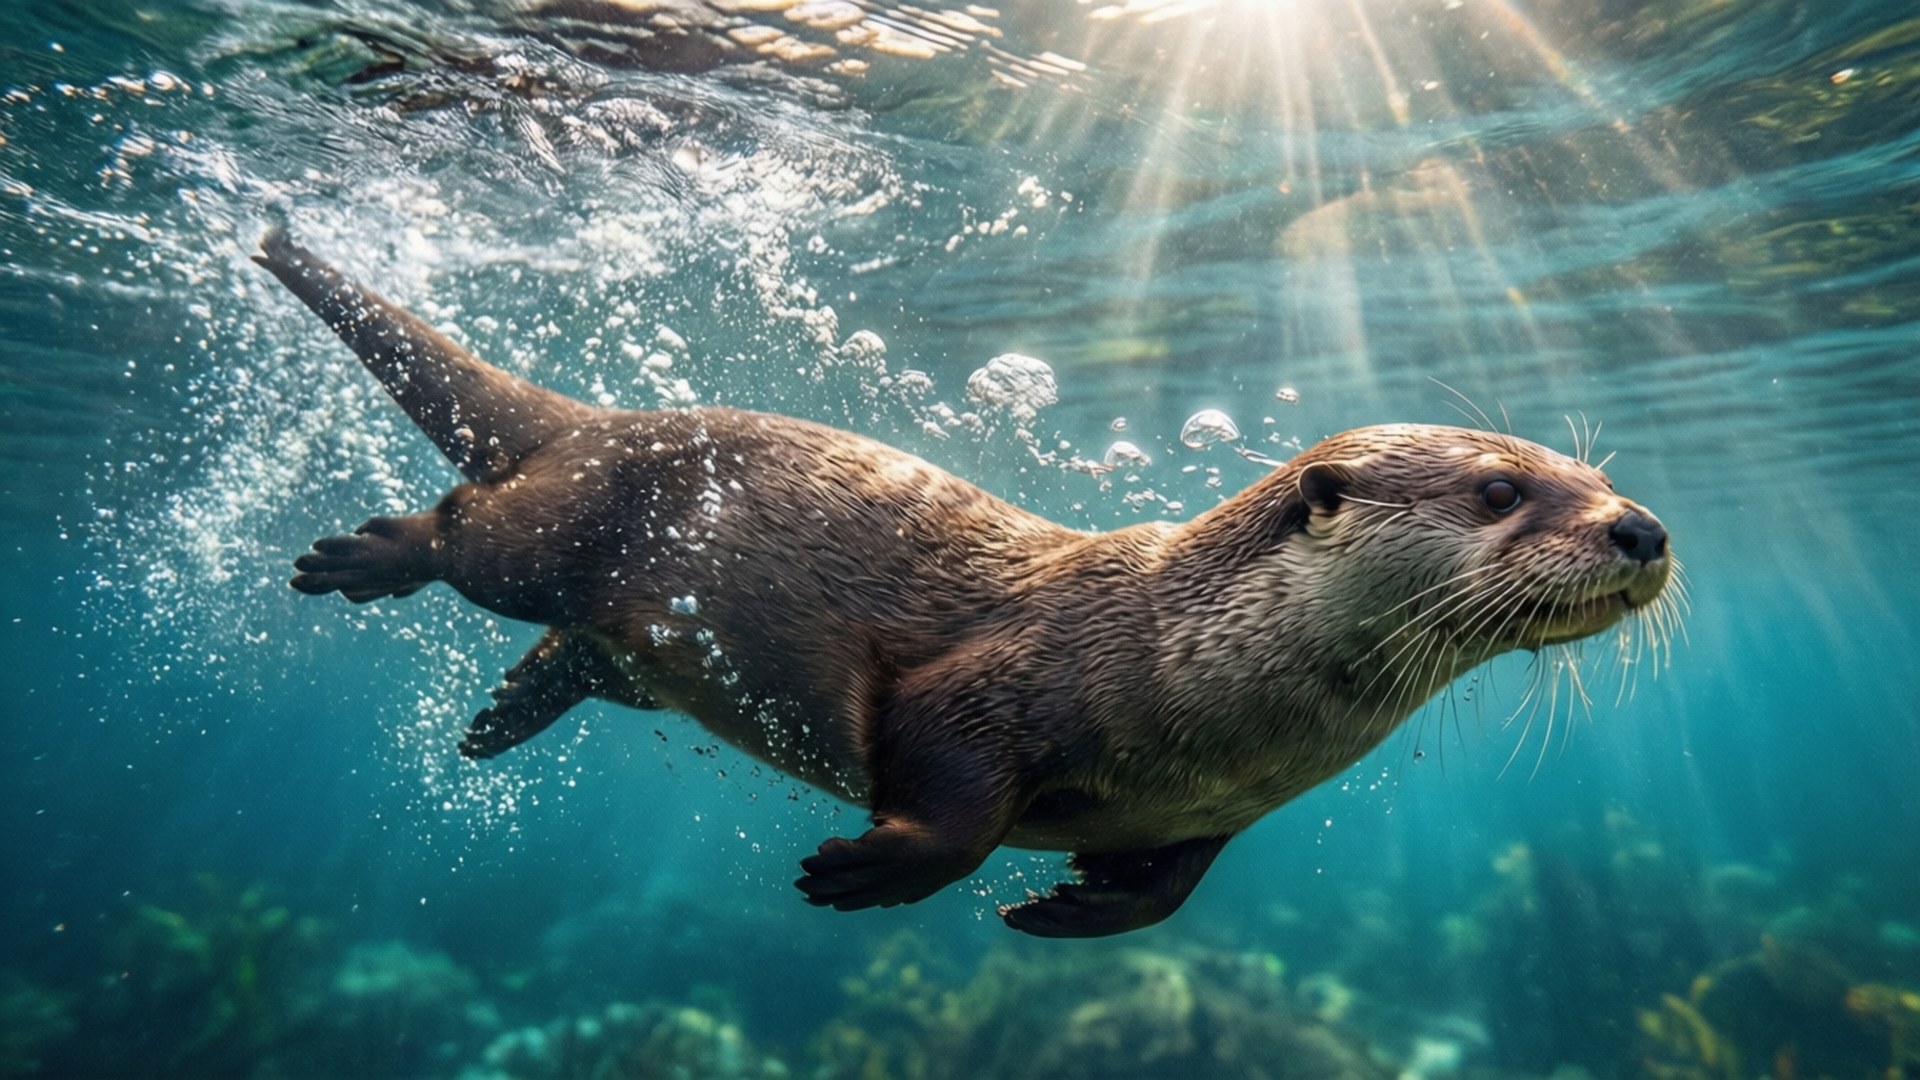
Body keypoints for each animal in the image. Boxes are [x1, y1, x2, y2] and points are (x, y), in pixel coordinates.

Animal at [254, 227, 1674, 938]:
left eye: (1596, 470)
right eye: (1499, 491)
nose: (1647, 528)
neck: (1189, 668)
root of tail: (606, 417)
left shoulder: (1211, 813)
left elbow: (1169, 885)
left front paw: (1072, 909)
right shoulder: (988, 687)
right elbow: (952, 804)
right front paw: (861, 874)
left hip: (635, 641)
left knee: (576, 653)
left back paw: (496, 722)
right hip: (555, 530)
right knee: (467, 531)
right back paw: (358, 558)